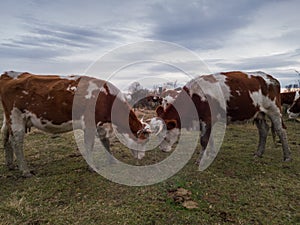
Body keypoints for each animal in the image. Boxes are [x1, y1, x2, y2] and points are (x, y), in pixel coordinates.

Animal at [0, 71, 150, 177]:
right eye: (144, 141)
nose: (142, 159)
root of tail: (9, 74)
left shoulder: (101, 125)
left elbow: (106, 142)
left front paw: (112, 161)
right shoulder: (89, 124)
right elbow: (89, 146)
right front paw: (92, 167)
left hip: (9, 120)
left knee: (6, 138)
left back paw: (11, 165)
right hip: (16, 118)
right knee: (16, 142)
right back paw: (25, 171)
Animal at [150, 71, 290, 163]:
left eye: (165, 135)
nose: (162, 150)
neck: (195, 95)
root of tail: (272, 78)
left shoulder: (206, 118)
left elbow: (204, 140)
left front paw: (200, 159)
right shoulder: (206, 121)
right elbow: (209, 138)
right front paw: (210, 153)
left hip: (274, 110)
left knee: (281, 130)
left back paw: (287, 156)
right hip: (258, 113)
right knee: (263, 130)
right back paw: (258, 153)